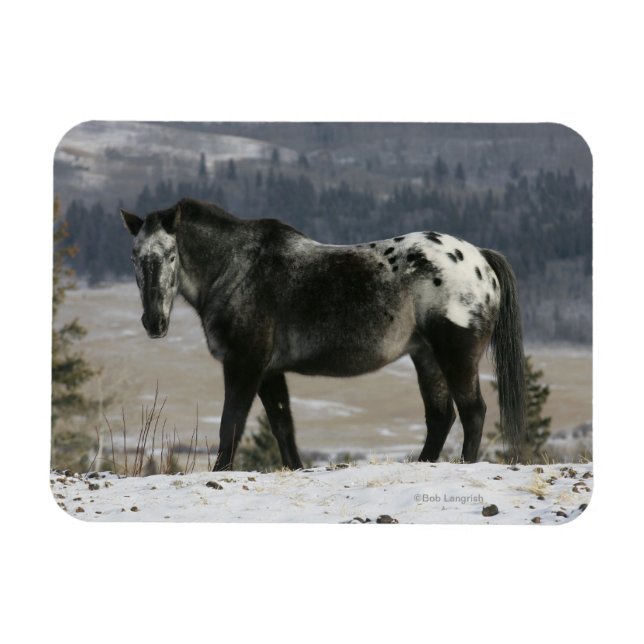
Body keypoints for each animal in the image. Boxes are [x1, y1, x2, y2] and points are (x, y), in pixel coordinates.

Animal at [121, 197, 526, 471]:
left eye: (171, 255)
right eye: (134, 256)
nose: (153, 322)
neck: (237, 268)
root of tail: (480, 259)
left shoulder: (244, 364)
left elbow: (230, 425)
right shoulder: (269, 371)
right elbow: (282, 426)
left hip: (455, 354)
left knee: (472, 411)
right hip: (426, 356)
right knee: (440, 417)